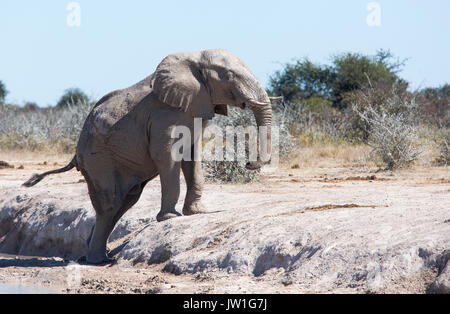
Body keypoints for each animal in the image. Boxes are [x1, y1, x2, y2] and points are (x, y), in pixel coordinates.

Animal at [24, 49, 276, 264]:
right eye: (228, 76)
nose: (248, 163)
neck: (194, 57)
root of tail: (76, 154)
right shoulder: (165, 114)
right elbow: (167, 155)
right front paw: (171, 218)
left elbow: (192, 156)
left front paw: (196, 212)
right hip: (97, 159)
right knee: (110, 203)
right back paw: (98, 260)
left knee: (125, 201)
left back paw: (97, 254)